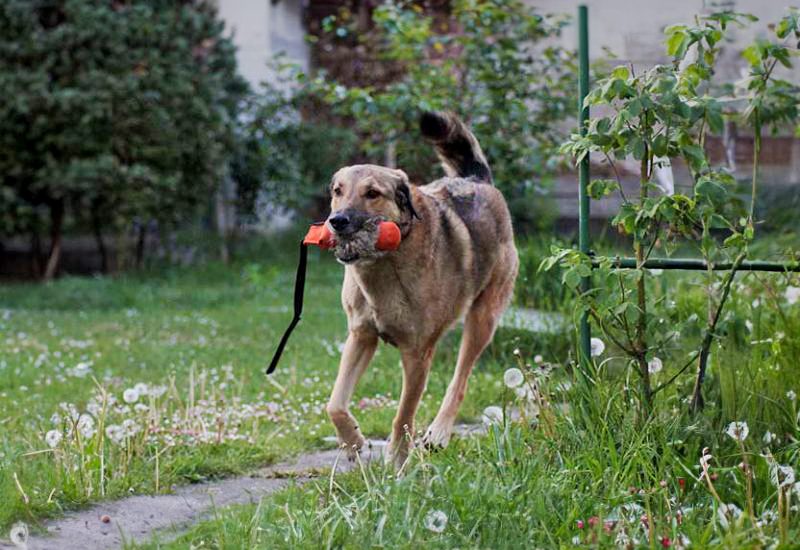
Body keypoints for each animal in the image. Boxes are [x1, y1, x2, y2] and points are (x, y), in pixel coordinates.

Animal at [324, 113, 520, 470]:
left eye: (372, 193)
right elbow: (335, 404)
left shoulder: (417, 354)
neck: (384, 265)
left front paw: (397, 460)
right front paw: (353, 442)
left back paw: (439, 433)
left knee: (459, 381)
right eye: (338, 191)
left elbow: (403, 413)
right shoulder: (361, 336)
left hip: (482, 320)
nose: (337, 221)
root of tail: (477, 179)